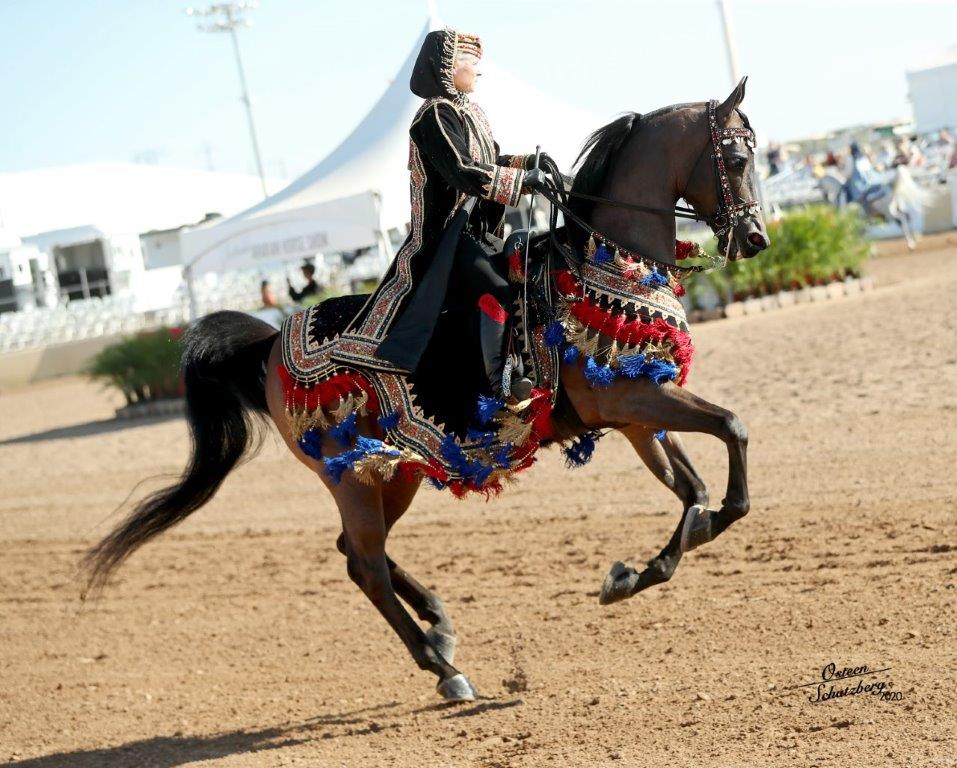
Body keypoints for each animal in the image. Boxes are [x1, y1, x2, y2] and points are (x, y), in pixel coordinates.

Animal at [82, 78, 768, 704]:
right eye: (736, 159)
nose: (756, 238)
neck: (604, 260)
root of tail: (273, 343)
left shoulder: (636, 414)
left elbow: (694, 490)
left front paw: (635, 574)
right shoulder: (632, 401)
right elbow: (732, 431)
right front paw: (668, 551)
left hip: (390, 473)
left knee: (357, 554)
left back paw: (439, 626)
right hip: (353, 477)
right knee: (365, 565)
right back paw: (445, 669)